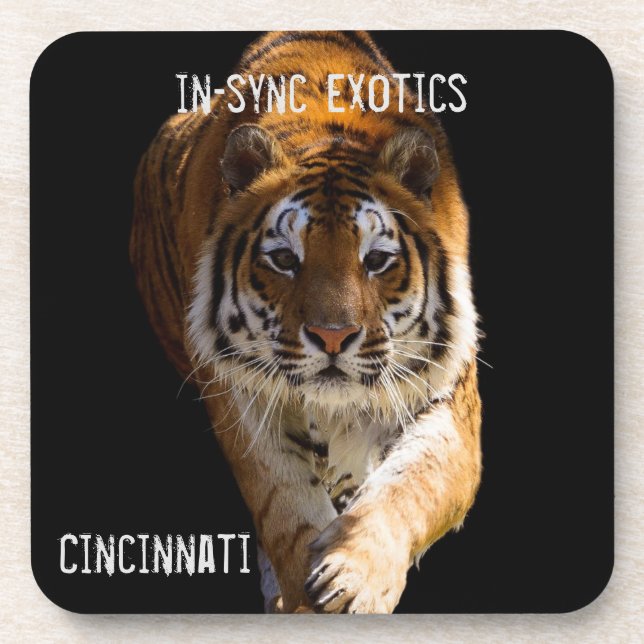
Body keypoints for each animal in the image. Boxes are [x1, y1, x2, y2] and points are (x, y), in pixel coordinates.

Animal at [130, 30, 482, 614]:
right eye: (284, 259)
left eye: (375, 260)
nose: (332, 337)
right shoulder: (238, 394)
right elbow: (285, 503)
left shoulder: (446, 395)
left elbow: (411, 485)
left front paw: (354, 577)